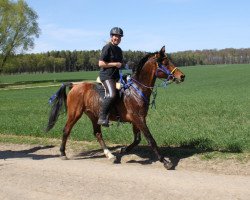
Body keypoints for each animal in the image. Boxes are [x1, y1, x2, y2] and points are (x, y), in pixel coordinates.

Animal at [46, 46, 185, 170]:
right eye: (165, 62)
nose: (182, 76)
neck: (137, 89)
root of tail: (74, 86)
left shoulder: (137, 119)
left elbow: (137, 139)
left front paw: (123, 149)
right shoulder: (138, 118)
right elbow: (150, 140)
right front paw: (165, 162)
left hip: (94, 115)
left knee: (97, 133)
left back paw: (110, 155)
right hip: (75, 114)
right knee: (66, 130)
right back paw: (63, 153)